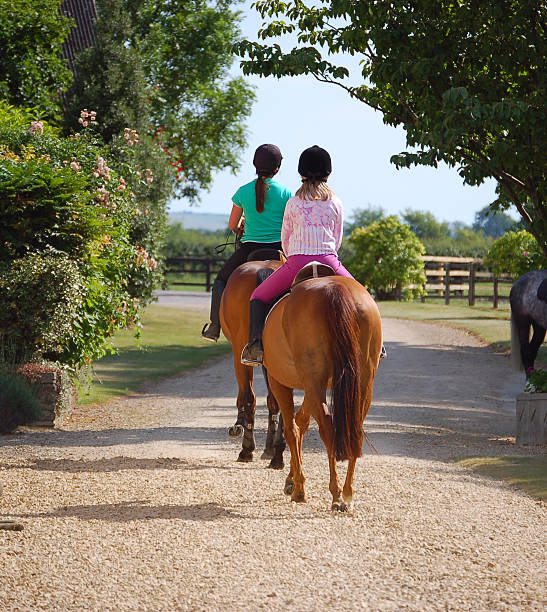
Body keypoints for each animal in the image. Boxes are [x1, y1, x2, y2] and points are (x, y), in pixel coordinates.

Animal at [219, 256, 286, 466]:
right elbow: (273, 400)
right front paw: (270, 447)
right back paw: (276, 452)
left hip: (240, 350)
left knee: (249, 396)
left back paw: (247, 449)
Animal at [264, 274, 384, 512]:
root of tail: (334, 289)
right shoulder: (312, 388)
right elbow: (301, 422)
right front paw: (292, 478)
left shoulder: (279, 382)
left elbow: (292, 429)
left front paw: (298, 486)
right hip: (364, 381)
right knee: (355, 428)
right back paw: (347, 492)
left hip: (311, 380)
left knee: (327, 428)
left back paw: (335, 493)